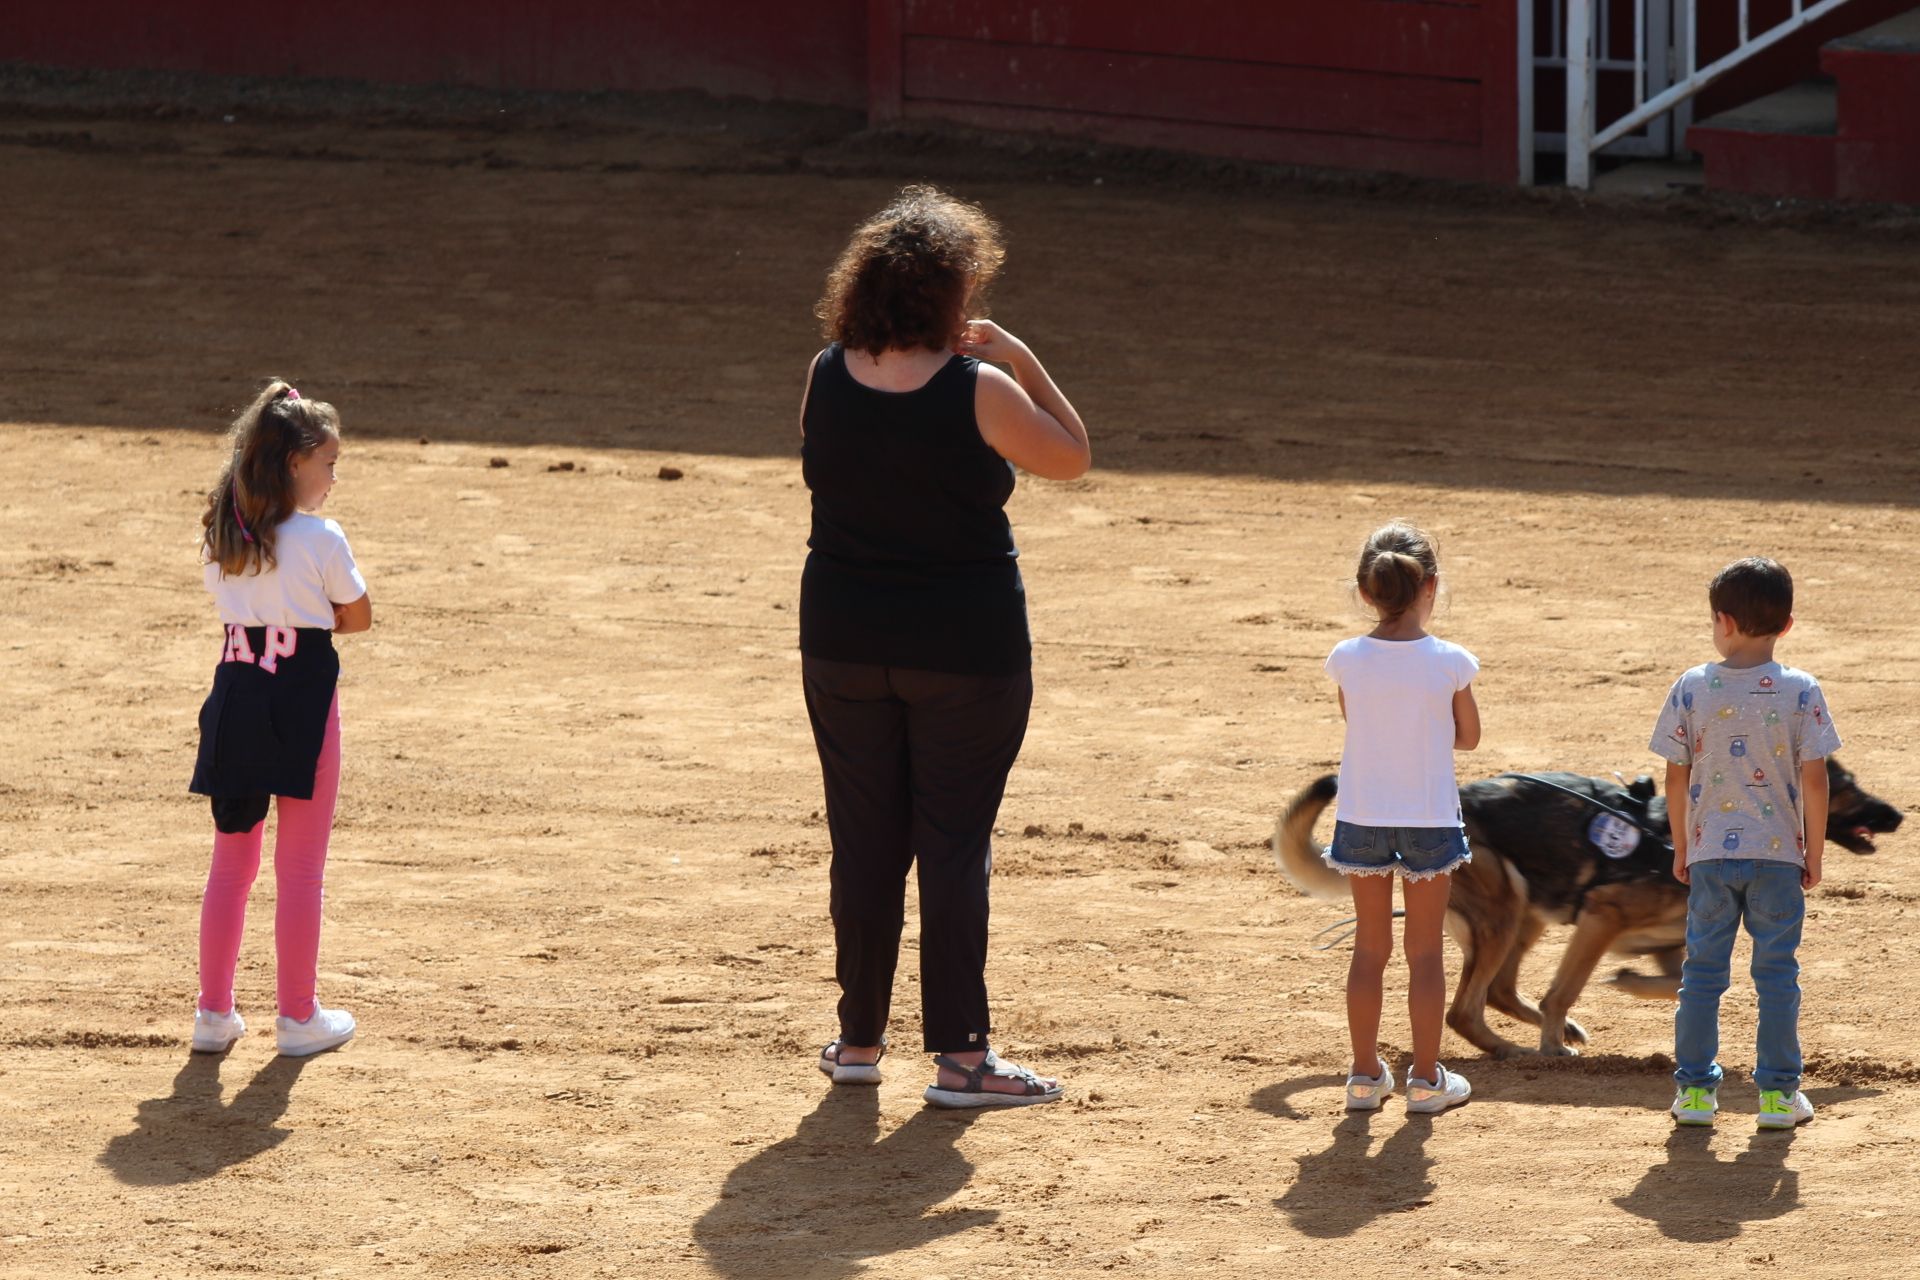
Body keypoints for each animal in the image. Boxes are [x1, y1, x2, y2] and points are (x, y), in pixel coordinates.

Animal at [1274, 759, 1904, 1059]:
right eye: (1847, 787)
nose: (1898, 814)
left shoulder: (1671, 945)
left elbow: (1675, 985)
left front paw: (1625, 985)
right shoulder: (1600, 919)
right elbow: (1564, 989)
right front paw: (1555, 1041)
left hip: (1524, 915)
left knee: (1495, 992)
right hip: (1508, 910)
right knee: (1464, 1008)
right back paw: (1519, 1051)